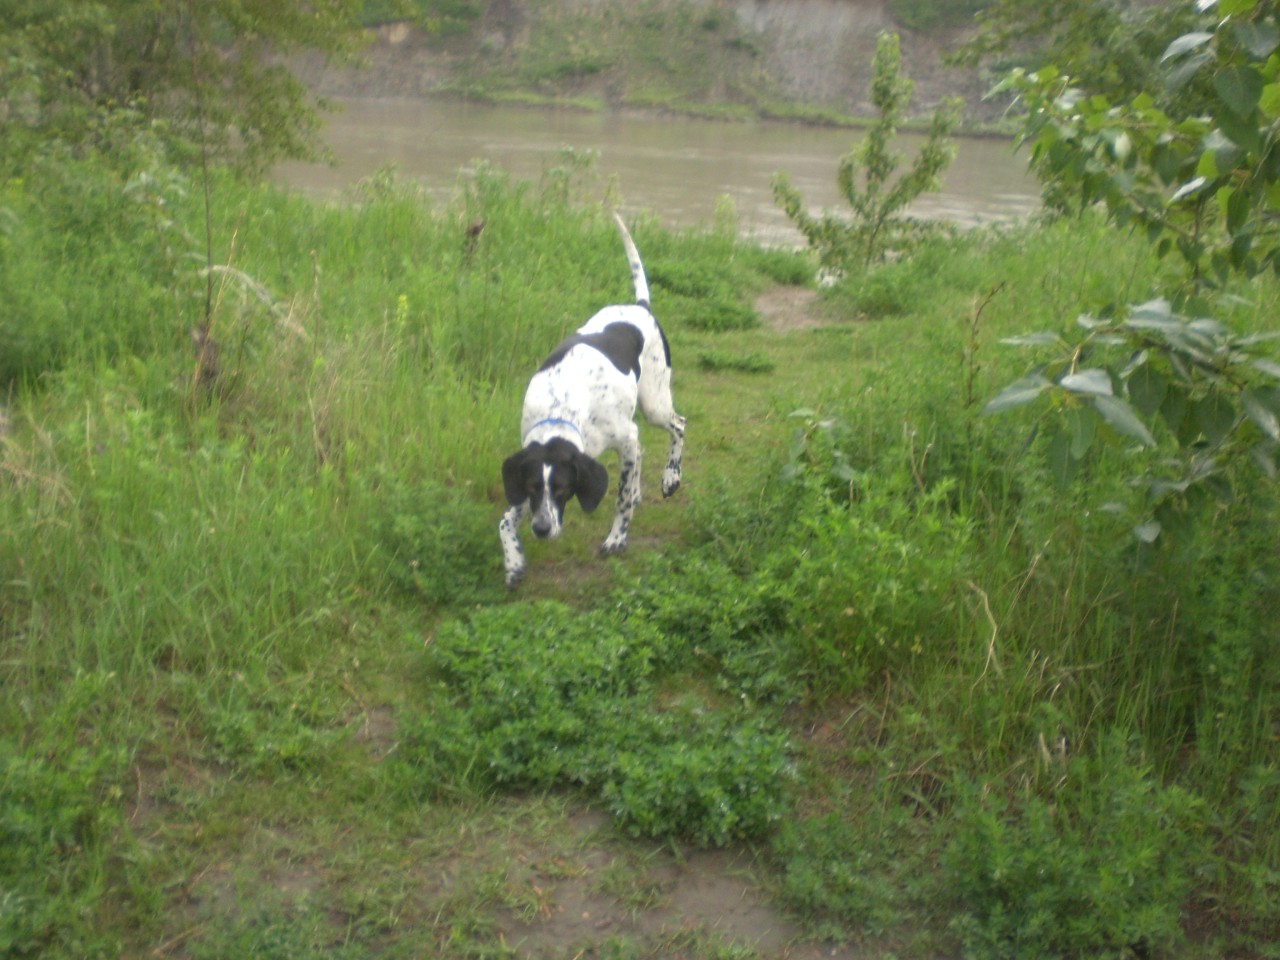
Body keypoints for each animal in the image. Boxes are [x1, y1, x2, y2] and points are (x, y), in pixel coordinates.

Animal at [499, 213, 686, 588]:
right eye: (531, 487)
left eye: (562, 489)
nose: (541, 529)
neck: (561, 408)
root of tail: (639, 307)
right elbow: (505, 520)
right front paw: (513, 561)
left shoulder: (623, 437)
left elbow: (620, 500)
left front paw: (616, 538)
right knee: (643, 451)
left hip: (654, 405)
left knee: (678, 426)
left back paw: (670, 477)